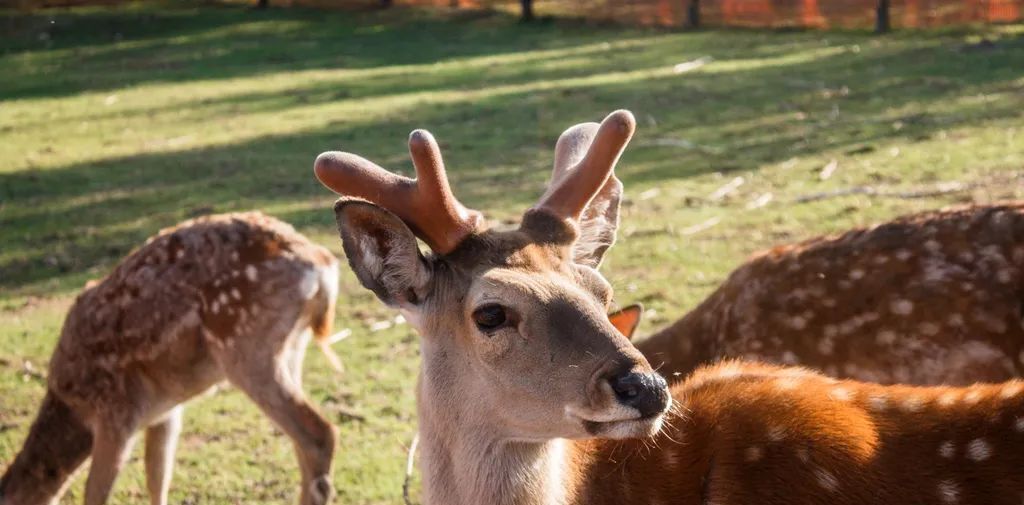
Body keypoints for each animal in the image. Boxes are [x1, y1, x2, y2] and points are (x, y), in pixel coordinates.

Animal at [0, 211, 344, 503]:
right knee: (302, 441)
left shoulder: (116, 412)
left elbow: (95, 493)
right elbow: (157, 477)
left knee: (318, 433)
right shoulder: (164, 412)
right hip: (291, 347)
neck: (71, 404)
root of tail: (322, 264)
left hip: (246, 346)